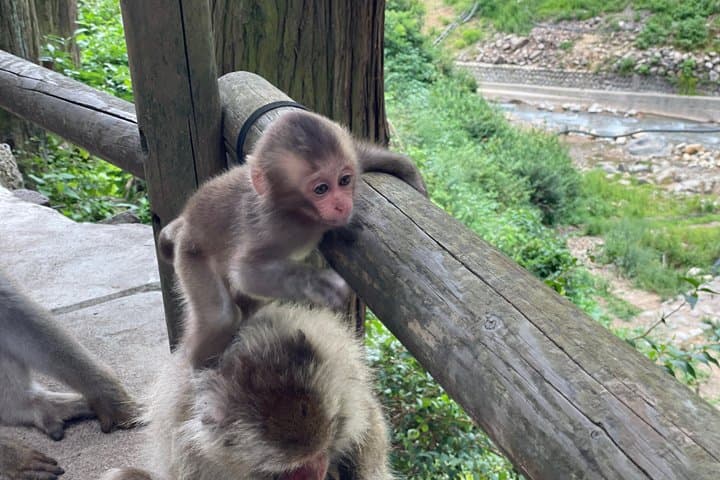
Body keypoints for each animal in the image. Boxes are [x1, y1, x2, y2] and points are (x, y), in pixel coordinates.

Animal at [159, 110, 427, 368]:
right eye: (321, 189)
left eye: (344, 180)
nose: (341, 205)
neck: (302, 213)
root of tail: (185, 223)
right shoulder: (275, 227)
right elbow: (246, 274)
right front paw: (318, 283)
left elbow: (359, 154)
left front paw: (404, 168)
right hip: (191, 255)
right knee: (221, 317)